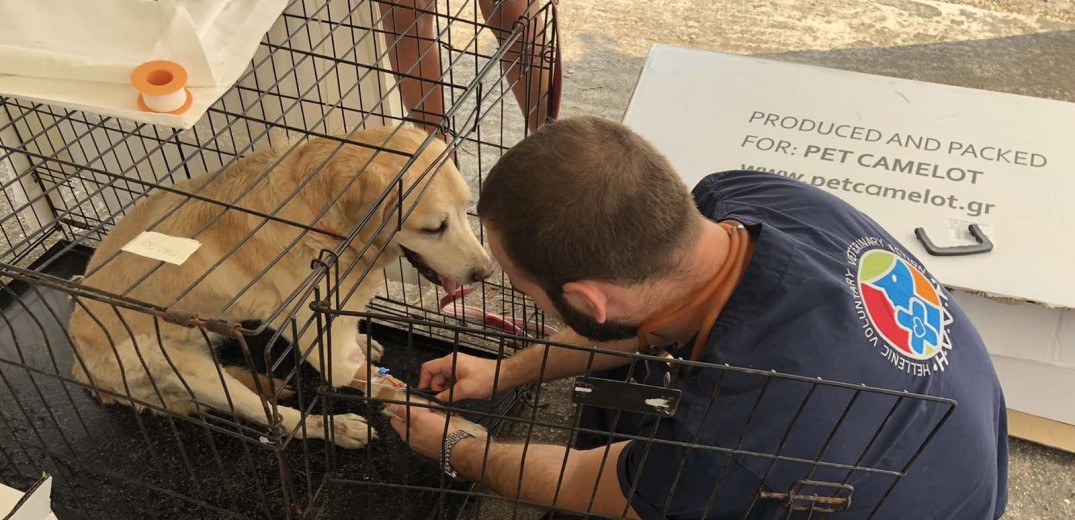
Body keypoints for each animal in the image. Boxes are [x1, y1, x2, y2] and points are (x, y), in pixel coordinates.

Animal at [63, 125, 492, 446]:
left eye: (466, 208)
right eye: (435, 227)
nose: (486, 272)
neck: (322, 225)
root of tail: (79, 366)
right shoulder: (330, 358)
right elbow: (394, 390)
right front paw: (457, 430)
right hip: (185, 369)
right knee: (277, 419)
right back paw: (333, 427)